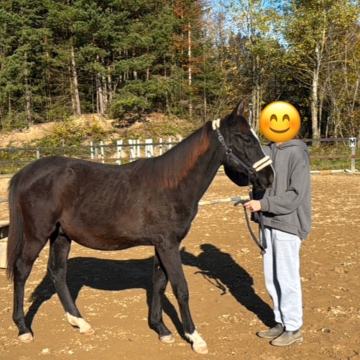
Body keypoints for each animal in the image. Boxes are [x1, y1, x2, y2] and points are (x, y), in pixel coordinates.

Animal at [6, 102, 272, 354]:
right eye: (245, 138)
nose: (268, 178)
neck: (172, 183)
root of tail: (26, 172)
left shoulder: (162, 244)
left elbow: (159, 283)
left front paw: (161, 329)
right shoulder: (167, 245)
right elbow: (180, 288)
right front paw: (194, 337)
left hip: (61, 236)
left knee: (58, 273)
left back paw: (79, 322)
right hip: (37, 235)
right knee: (22, 270)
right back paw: (23, 328)